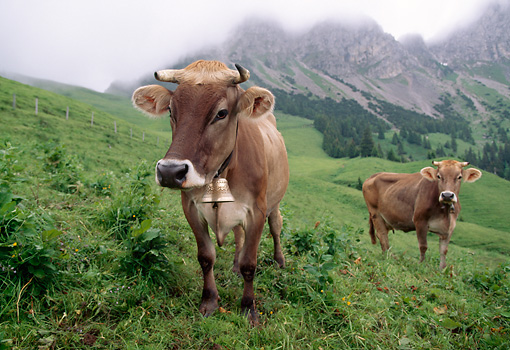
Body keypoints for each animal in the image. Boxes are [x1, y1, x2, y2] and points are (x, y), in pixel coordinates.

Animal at [131, 59, 288, 322]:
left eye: (221, 113)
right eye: (171, 111)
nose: (170, 171)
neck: (220, 174)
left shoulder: (256, 211)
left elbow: (250, 263)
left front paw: (249, 308)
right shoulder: (191, 208)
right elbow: (206, 257)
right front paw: (209, 301)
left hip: (275, 202)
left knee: (276, 226)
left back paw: (279, 260)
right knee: (238, 236)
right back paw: (234, 266)